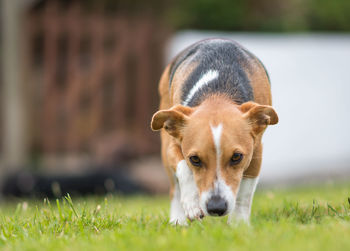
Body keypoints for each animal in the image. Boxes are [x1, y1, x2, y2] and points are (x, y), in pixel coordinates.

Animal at [150, 38, 278, 226]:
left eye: (236, 157)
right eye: (194, 159)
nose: (216, 208)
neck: (217, 92)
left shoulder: (256, 151)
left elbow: (245, 193)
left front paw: (239, 224)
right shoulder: (173, 145)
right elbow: (183, 169)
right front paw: (192, 204)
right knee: (175, 189)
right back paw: (178, 220)